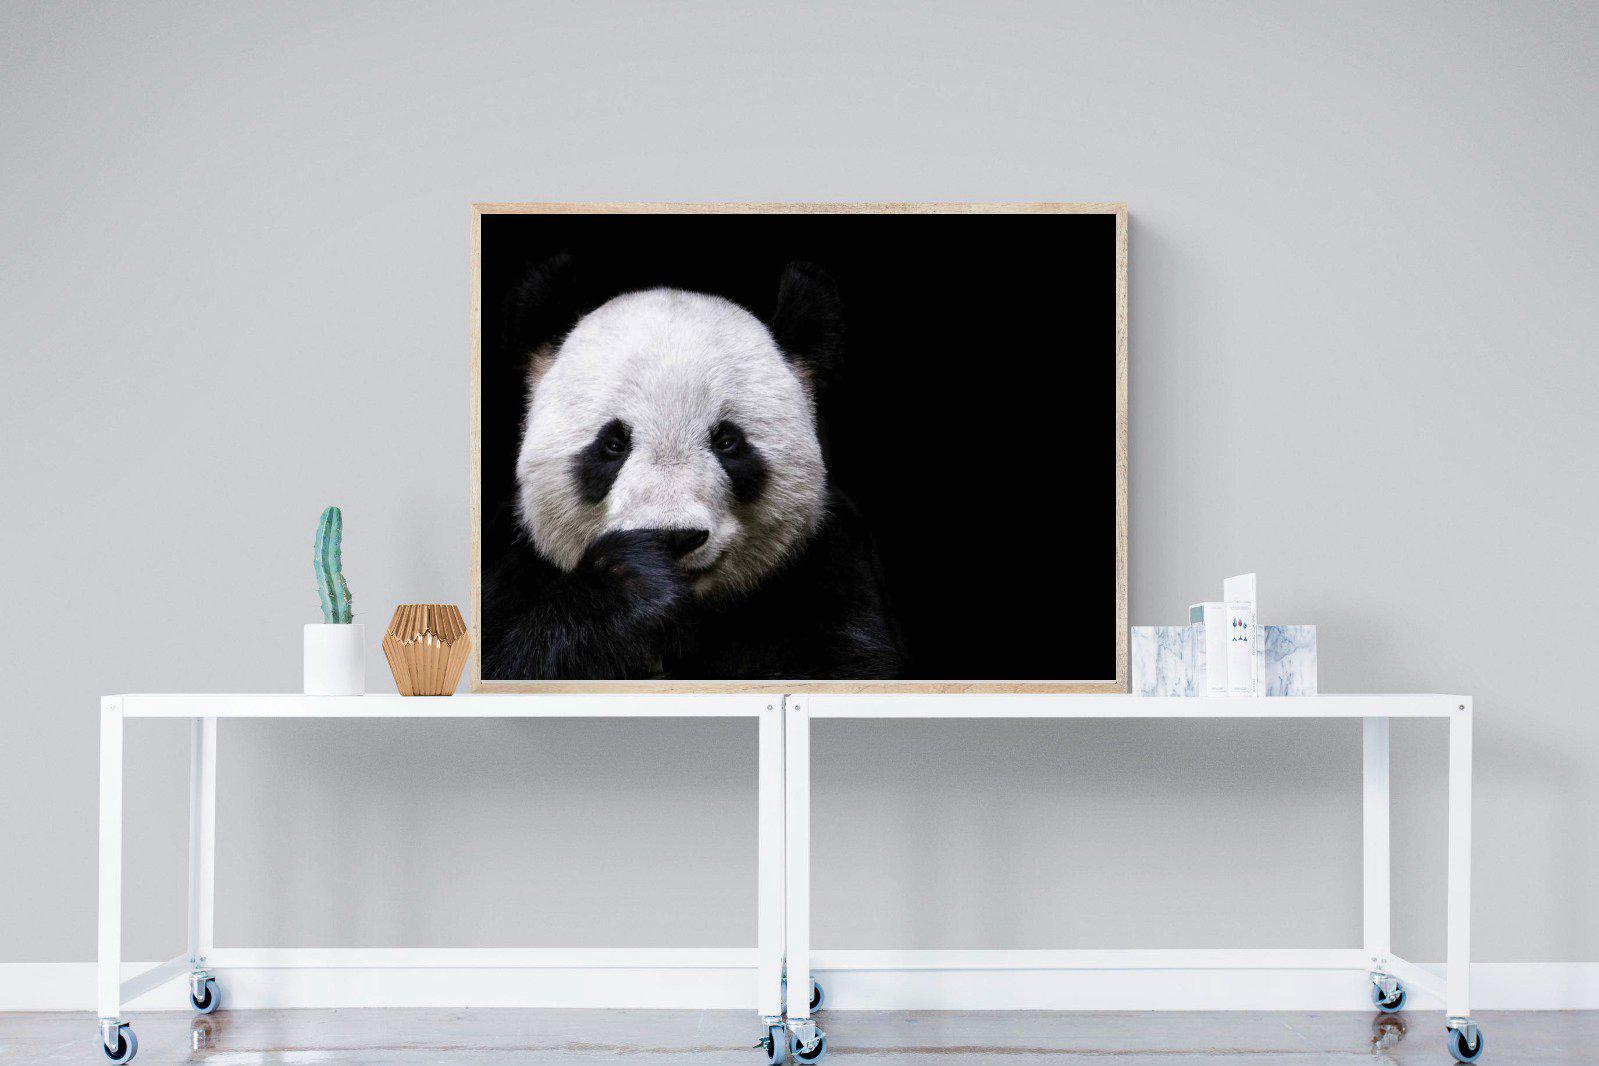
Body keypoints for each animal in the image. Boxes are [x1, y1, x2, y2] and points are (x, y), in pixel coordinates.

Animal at [481, 255, 906, 681]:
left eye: (727, 442)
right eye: (613, 444)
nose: (675, 537)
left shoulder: (830, 564)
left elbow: (845, 662)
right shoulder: (512, 563)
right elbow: (508, 657)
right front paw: (633, 580)